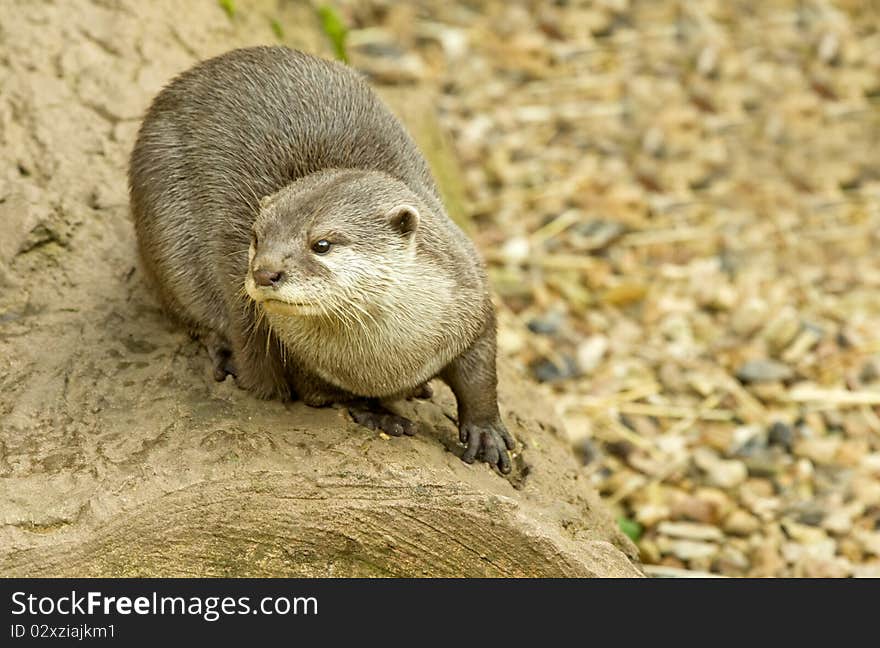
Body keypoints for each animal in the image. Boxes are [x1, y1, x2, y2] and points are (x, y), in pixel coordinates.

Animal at [131, 45, 516, 470]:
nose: (265, 272)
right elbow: (330, 393)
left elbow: (481, 373)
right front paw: (381, 414)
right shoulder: (299, 361)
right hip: (165, 236)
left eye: (322, 244)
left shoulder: (471, 297)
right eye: (256, 237)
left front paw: (485, 431)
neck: (390, 361)